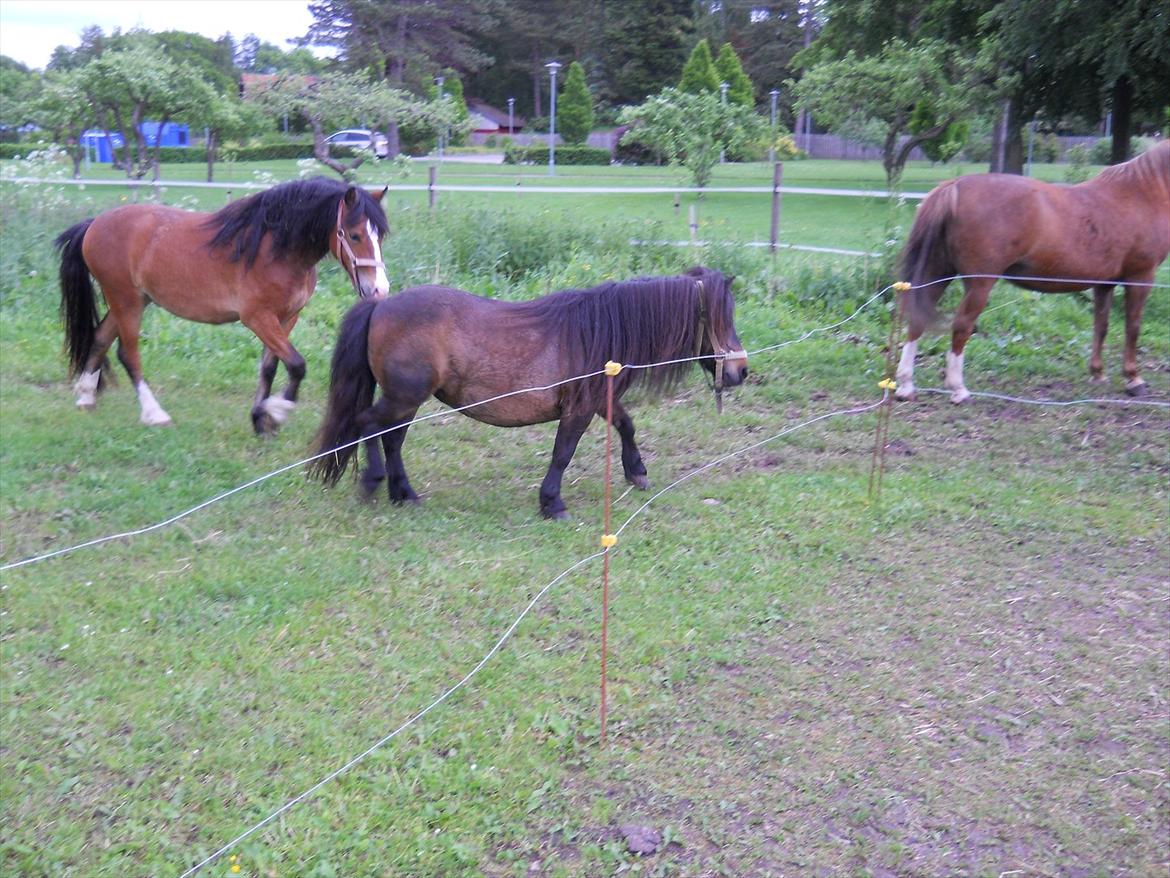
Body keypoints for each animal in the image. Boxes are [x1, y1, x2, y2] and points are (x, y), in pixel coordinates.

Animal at [54, 177, 390, 433]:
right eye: (355, 235)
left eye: (380, 236)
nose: (379, 290)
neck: (274, 248)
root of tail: (94, 224)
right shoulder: (258, 318)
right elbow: (296, 365)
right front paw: (277, 412)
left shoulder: (286, 318)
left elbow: (269, 368)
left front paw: (260, 419)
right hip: (127, 301)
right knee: (128, 354)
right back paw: (154, 414)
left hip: (131, 300)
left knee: (100, 338)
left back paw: (86, 398)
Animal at [308, 264, 748, 519]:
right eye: (722, 318)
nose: (741, 370)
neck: (599, 329)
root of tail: (380, 307)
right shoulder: (578, 408)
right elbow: (562, 454)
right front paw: (552, 503)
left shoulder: (597, 400)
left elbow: (626, 425)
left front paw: (636, 471)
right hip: (403, 397)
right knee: (369, 425)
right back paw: (373, 482)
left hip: (407, 400)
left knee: (392, 438)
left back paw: (404, 493)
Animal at [898, 142, 1165, 405]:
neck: (1140, 192)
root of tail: (955, 186)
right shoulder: (1140, 277)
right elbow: (1133, 327)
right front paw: (1134, 379)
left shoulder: (1104, 283)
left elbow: (1101, 326)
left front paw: (1098, 373)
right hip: (979, 284)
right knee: (962, 325)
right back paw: (958, 389)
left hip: (937, 273)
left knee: (917, 319)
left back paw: (905, 386)